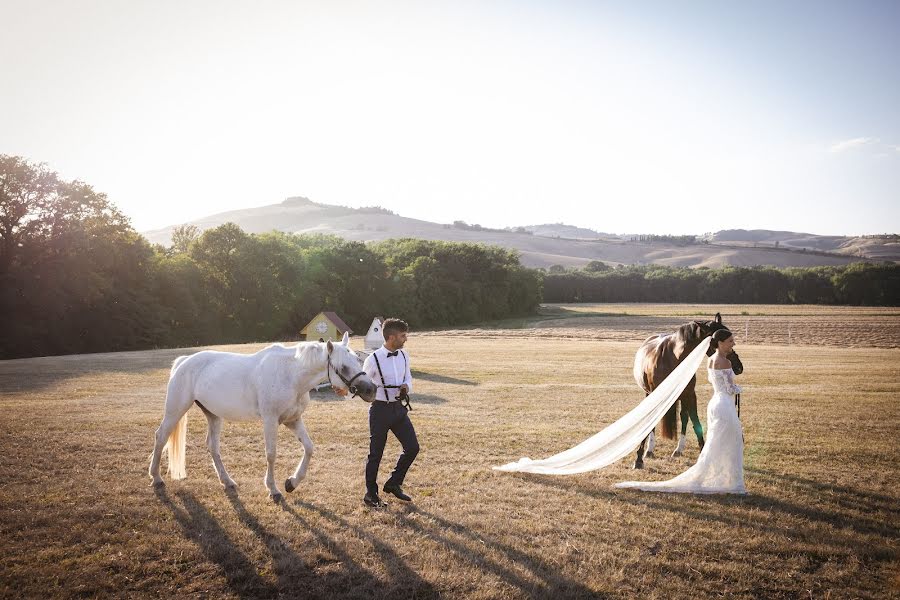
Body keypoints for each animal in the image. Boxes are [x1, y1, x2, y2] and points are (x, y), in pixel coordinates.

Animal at [149, 336, 374, 500]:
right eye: (343, 367)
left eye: (358, 360)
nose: (371, 389)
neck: (290, 375)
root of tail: (184, 361)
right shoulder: (270, 420)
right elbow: (271, 454)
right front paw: (273, 490)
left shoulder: (293, 420)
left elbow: (309, 448)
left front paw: (292, 482)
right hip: (176, 409)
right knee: (161, 436)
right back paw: (156, 478)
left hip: (213, 415)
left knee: (212, 446)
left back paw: (227, 481)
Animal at [632, 314, 740, 468]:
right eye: (723, 341)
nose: (738, 366)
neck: (672, 358)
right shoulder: (654, 395)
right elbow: (648, 422)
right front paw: (639, 458)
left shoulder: (690, 394)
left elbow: (695, 422)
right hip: (650, 394)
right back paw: (650, 449)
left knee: (684, 417)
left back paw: (678, 449)